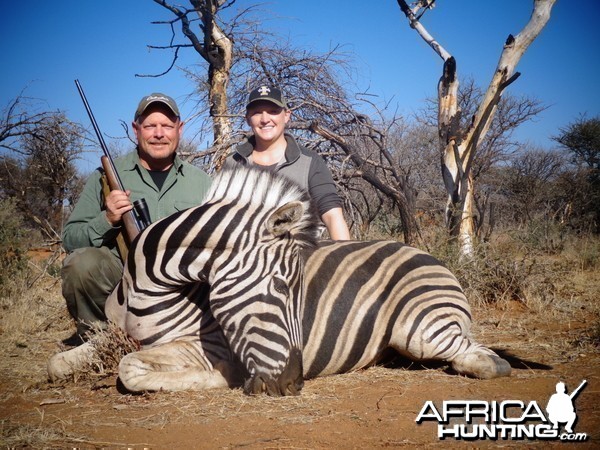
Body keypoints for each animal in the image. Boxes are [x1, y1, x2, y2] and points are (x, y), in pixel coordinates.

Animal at [48, 164, 510, 394]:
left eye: (295, 291)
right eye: (282, 287)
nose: (292, 383)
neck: (145, 289)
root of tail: (427, 256)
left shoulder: (206, 344)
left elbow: (129, 369)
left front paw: (221, 379)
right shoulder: (109, 335)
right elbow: (60, 363)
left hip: (420, 330)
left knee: (480, 355)